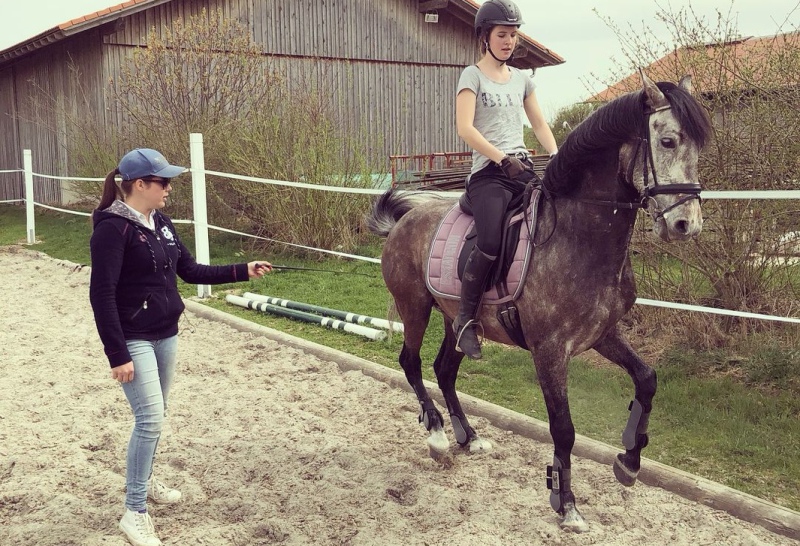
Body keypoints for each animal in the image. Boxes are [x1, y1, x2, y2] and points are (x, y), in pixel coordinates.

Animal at [365, 72, 712, 532]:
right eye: (669, 141)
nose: (686, 225)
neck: (577, 236)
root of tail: (404, 220)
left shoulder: (602, 334)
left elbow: (647, 379)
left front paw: (629, 461)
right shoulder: (549, 350)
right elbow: (564, 429)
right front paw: (566, 505)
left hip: (458, 321)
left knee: (444, 369)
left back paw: (469, 438)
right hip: (415, 308)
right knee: (411, 363)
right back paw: (438, 435)